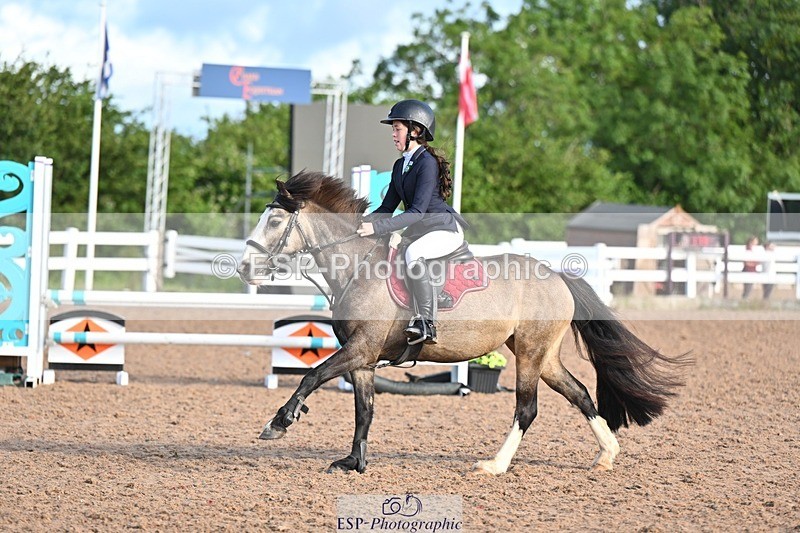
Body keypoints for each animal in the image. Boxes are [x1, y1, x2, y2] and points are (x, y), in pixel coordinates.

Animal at [238, 170, 689, 475]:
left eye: (274, 222)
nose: (244, 268)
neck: (357, 266)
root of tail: (558, 275)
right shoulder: (362, 358)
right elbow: (363, 410)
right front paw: (353, 462)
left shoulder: (360, 350)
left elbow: (311, 375)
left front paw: (278, 423)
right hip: (542, 355)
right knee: (578, 393)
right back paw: (606, 454)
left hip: (530, 353)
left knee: (527, 409)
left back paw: (494, 465)